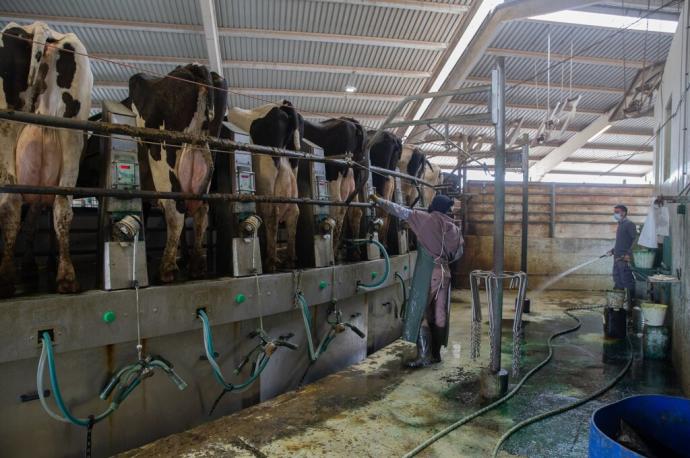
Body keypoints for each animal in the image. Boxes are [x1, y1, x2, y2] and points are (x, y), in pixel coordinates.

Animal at [0, 22, 92, 296]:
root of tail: (38, 27)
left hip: (6, 126)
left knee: (10, 202)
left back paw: (7, 278)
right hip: (72, 133)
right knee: (62, 205)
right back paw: (66, 277)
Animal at [126, 64, 226, 282]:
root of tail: (194, 66)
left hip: (163, 161)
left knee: (175, 211)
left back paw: (167, 269)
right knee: (200, 212)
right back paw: (196, 265)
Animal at [227, 101, 302, 272]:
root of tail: (283, 104)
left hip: (266, 176)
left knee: (271, 214)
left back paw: (271, 262)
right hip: (291, 175)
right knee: (293, 213)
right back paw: (289, 260)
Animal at [300, 116, 366, 256]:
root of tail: (353, 123)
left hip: (334, 179)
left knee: (338, 210)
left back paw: (335, 252)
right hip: (354, 180)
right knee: (355, 211)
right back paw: (355, 251)